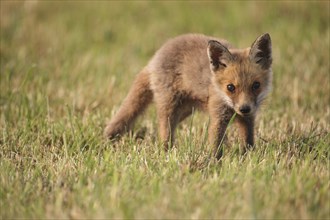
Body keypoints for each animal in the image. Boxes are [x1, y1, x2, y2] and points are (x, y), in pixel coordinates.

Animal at [104, 33, 272, 159]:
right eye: (230, 87)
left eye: (256, 85)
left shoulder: (248, 119)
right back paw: (166, 152)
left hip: (184, 110)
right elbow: (216, 143)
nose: (244, 108)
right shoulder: (218, 116)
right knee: (164, 131)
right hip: (170, 107)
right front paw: (215, 162)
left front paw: (248, 158)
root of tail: (154, 58)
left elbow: (248, 142)